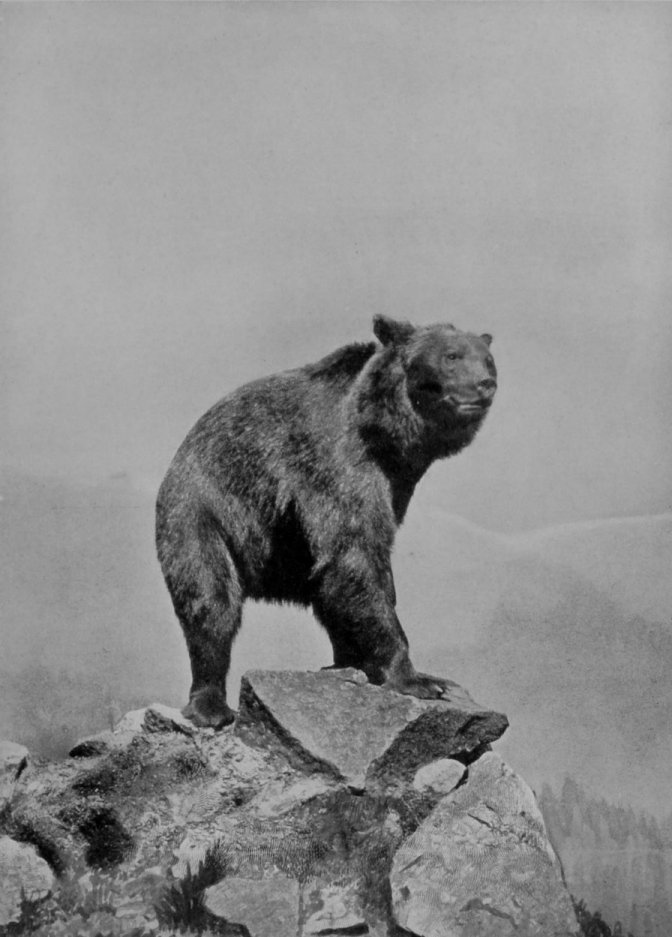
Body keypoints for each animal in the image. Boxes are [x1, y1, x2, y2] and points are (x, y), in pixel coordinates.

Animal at [155, 315, 497, 728]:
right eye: (451, 356)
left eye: (487, 358)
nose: (485, 383)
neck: (383, 432)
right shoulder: (335, 464)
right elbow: (354, 554)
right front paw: (416, 679)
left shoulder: (394, 483)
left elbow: (361, 570)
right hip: (203, 514)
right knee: (211, 600)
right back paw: (211, 705)